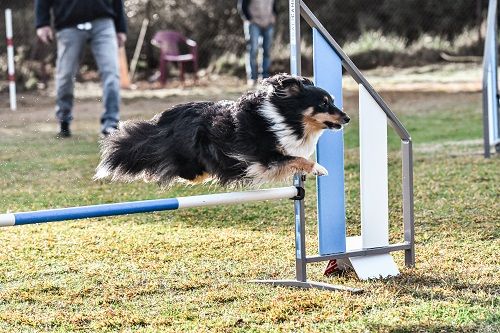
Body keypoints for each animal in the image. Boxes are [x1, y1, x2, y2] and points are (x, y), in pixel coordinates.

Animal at [94, 73, 352, 187]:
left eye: (332, 101)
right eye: (323, 104)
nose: (348, 118)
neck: (285, 117)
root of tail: (164, 121)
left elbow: (297, 158)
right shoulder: (265, 158)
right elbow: (299, 159)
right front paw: (319, 168)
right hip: (189, 159)